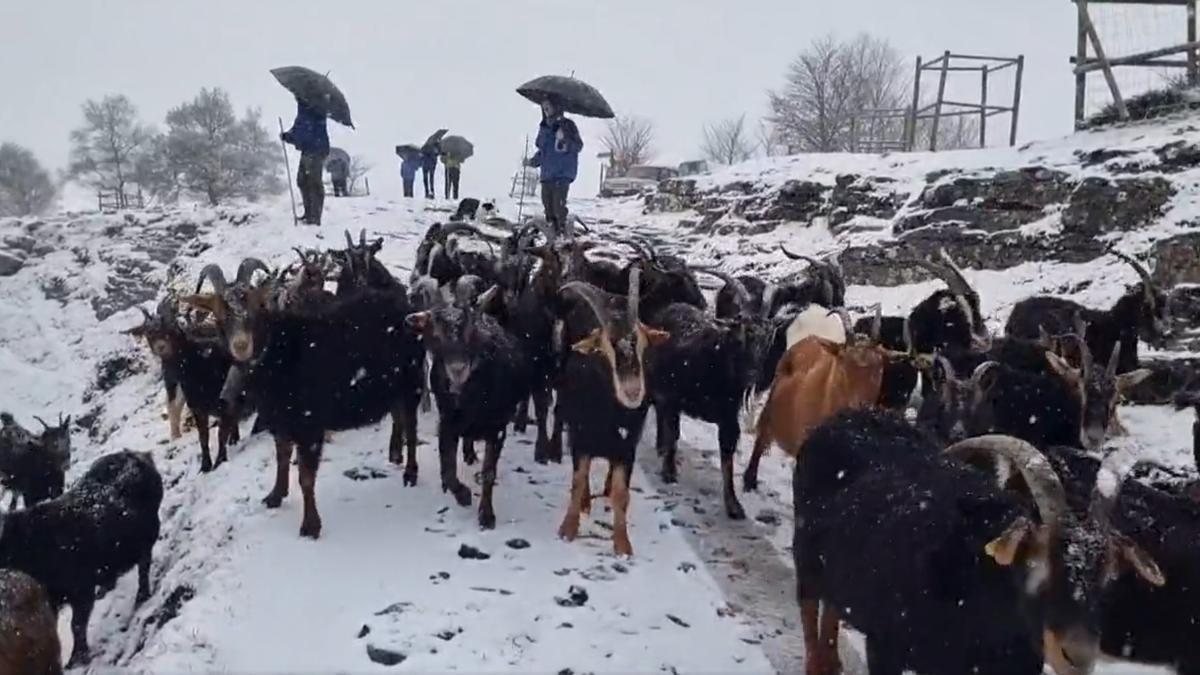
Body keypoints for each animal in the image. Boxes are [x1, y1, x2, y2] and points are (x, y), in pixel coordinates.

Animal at [0, 449, 162, 662]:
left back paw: (141, 597)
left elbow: (76, 624)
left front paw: (78, 657)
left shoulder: (81, 590)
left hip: (147, 537)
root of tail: (137, 455)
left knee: (144, 567)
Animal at [177, 257, 422, 535]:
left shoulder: (309, 424)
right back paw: (395, 455)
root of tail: (408, 310)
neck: (278, 356)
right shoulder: (279, 420)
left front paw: (310, 526)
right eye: (220, 315)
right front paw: (275, 495)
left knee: (412, 424)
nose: (241, 345)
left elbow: (306, 476)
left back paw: (410, 474)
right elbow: (282, 456)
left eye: (255, 306)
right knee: (398, 414)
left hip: (412, 380)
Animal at [556, 265, 672, 554]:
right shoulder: (580, 437)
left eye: (641, 343)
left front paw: (622, 544)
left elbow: (622, 493)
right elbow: (577, 480)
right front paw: (568, 528)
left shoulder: (627, 445)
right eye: (605, 346)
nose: (632, 391)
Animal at [796, 410, 1161, 672]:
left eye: (1110, 574)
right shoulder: (884, 645)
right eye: (1035, 561)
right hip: (807, 555)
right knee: (809, 604)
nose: (1077, 656)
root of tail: (846, 415)